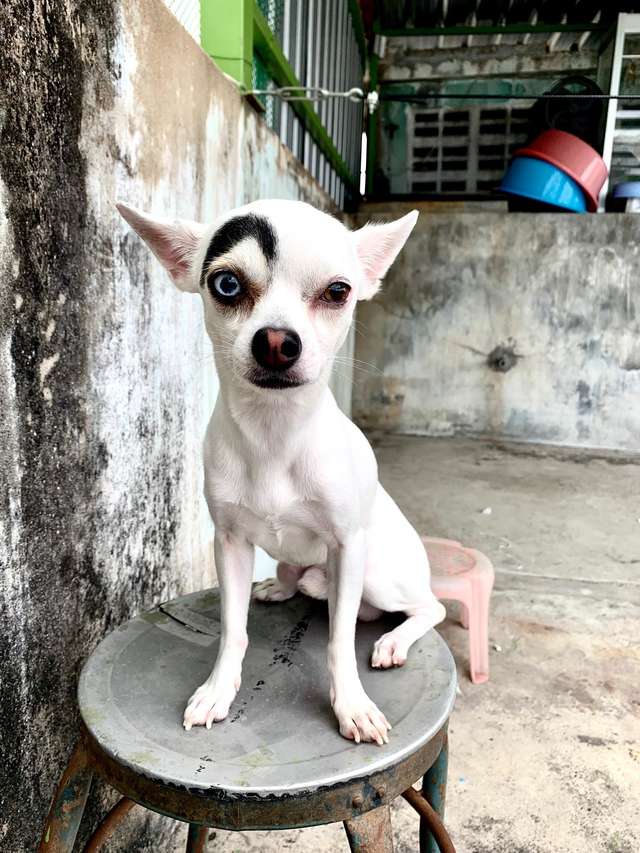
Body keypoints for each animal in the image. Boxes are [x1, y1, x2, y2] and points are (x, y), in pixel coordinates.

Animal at [116, 200, 444, 744]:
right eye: (227, 284)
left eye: (338, 291)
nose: (275, 341)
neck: (274, 431)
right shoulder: (229, 543)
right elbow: (233, 629)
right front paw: (218, 689)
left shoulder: (347, 548)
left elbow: (339, 640)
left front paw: (351, 705)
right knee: (305, 583)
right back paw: (280, 586)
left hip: (378, 573)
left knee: (426, 607)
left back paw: (394, 640)